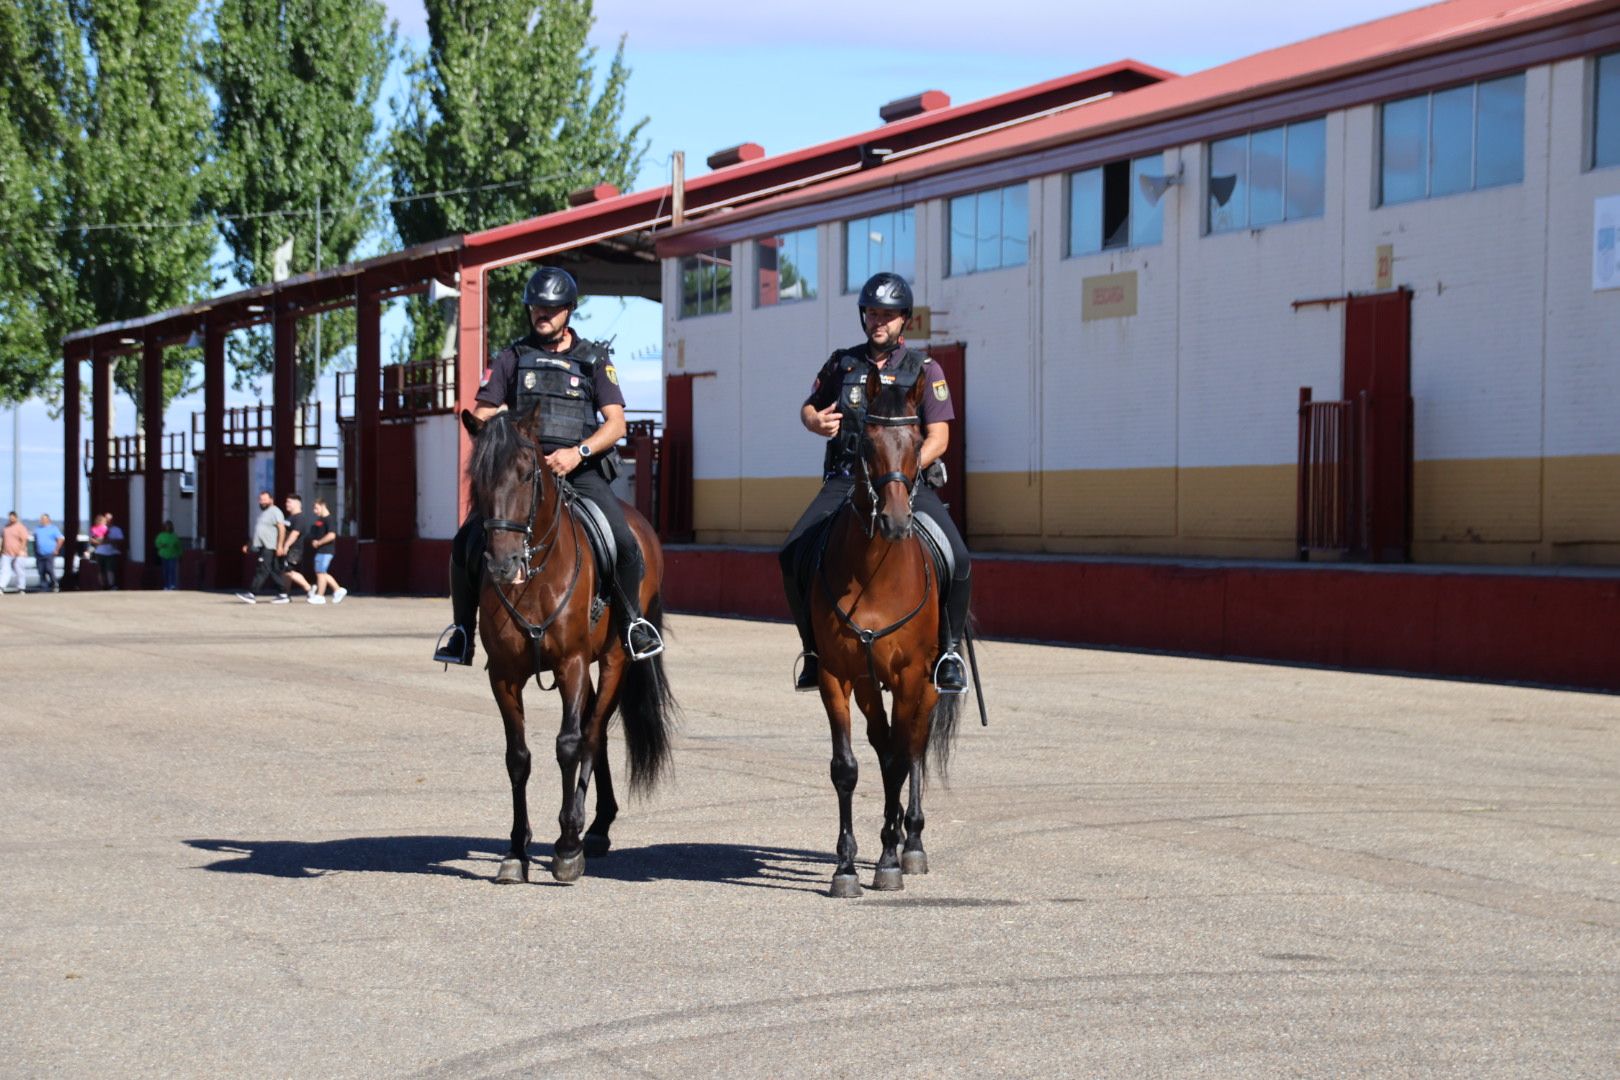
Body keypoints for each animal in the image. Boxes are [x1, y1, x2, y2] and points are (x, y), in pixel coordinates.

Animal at [463, 404, 677, 887]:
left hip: (614, 660)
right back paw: (597, 825)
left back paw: (587, 830)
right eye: (477, 477)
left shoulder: (572, 664)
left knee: (593, 734)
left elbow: (569, 744)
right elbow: (518, 757)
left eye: (527, 473)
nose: (502, 564)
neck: (536, 575)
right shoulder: (503, 675)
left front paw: (565, 847)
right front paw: (516, 851)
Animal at [810, 367, 959, 900]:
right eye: (868, 443)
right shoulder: (837, 676)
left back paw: (910, 840)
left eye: (916, 441)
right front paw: (846, 867)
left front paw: (891, 859)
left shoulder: (913, 676)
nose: (895, 521)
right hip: (870, 684)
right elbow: (847, 768)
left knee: (911, 746)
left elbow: (900, 758)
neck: (876, 571)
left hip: (929, 685)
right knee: (885, 740)